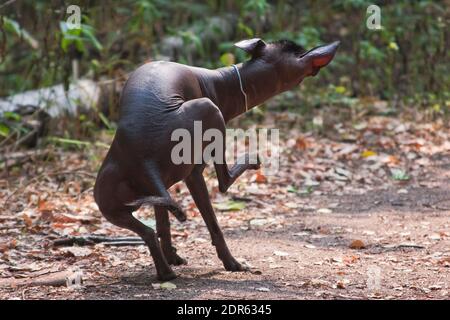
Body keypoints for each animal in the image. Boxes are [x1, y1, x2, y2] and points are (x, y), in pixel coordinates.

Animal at [95, 38, 342, 280]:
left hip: (112, 207)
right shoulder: (194, 171)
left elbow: (162, 221)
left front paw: (172, 255)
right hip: (208, 112)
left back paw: (166, 272)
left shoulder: (163, 188)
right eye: (298, 52)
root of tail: (141, 158)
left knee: (148, 231)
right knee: (223, 184)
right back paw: (231, 260)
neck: (225, 82)